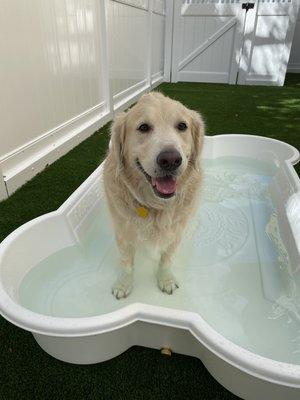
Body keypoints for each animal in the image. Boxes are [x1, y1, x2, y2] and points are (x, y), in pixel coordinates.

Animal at [103, 91, 204, 296]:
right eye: (143, 127)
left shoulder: (176, 232)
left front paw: (166, 279)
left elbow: (167, 258)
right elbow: (126, 263)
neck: (156, 205)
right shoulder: (123, 231)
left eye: (182, 126)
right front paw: (124, 284)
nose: (170, 160)